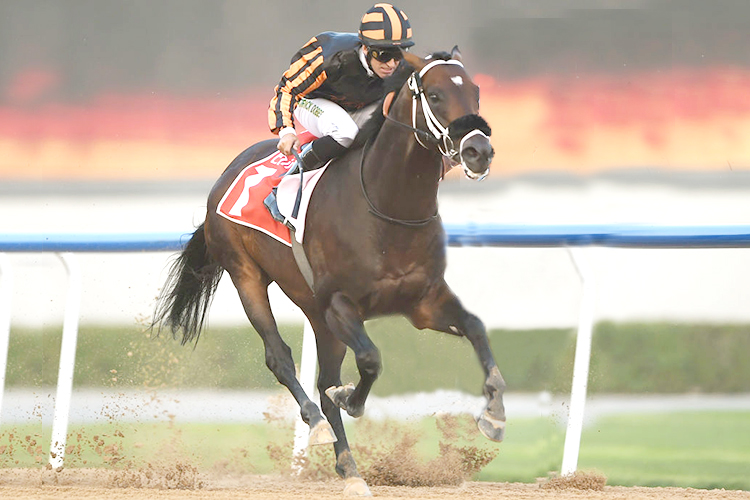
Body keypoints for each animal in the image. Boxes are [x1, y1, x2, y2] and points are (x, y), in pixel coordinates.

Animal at [151, 47, 506, 496]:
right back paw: (320, 425)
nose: (479, 150)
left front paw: (494, 413)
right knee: (281, 359)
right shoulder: (341, 303)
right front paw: (350, 398)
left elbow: (476, 327)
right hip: (246, 274)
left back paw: (349, 468)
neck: (387, 207)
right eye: (436, 94)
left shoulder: (424, 302)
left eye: (475, 91)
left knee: (323, 380)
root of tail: (228, 171)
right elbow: (369, 360)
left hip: (317, 314)